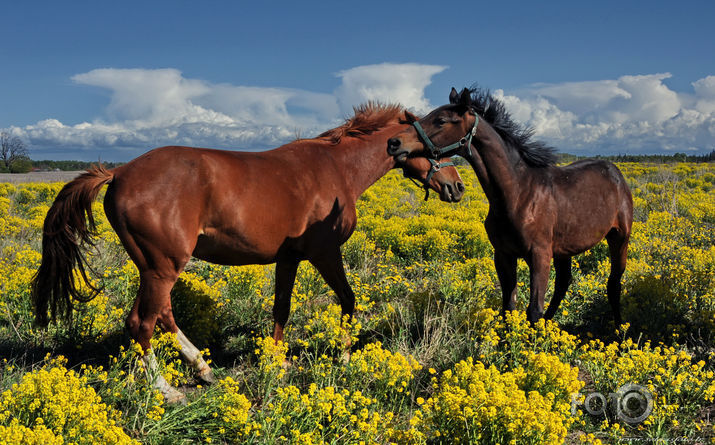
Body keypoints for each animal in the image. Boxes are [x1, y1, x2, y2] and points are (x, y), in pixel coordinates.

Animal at [30, 102, 464, 400]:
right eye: (439, 145)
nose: (457, 186)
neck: (336, 166)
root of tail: (118, 172)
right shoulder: (324, 253)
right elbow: (348, 298)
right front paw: (341, 356)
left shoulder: (289, 259)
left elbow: (281, 308)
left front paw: (276, 359)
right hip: (162, 267)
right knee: (142, 323)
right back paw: (166, 390)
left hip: (154, 267)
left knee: (163, 315)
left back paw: (203, 368)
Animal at [388, 89, 636, 326]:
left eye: (441, 120)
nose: (394, 143)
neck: (518, 194)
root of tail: (615, 173)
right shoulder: (504, 255)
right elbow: (509, 307)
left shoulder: (540, 255)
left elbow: (533, 310)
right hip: (565, 249)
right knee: (564, 284)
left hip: (619, 237)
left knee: (613, 283)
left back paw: (619, 330)